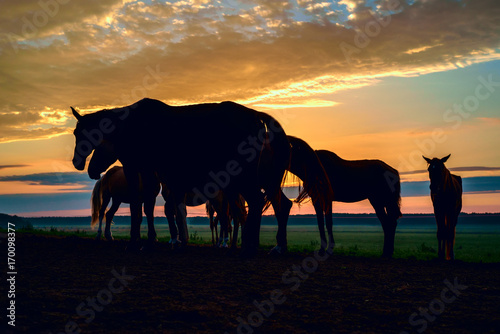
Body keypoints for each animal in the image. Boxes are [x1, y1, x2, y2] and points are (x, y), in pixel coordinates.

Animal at [72, 98, 292, 258]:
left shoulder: (136, 170)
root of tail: (255, 116)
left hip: (243, 177)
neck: (133, 126)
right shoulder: (152, 176)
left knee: (255, 203)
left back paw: (248, 247)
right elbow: (151, 208)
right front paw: (151, 242)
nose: (78, 163)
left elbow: (138, 207)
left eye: (78, 133)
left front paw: (137, 243)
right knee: (270, 204)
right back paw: (265, 246)